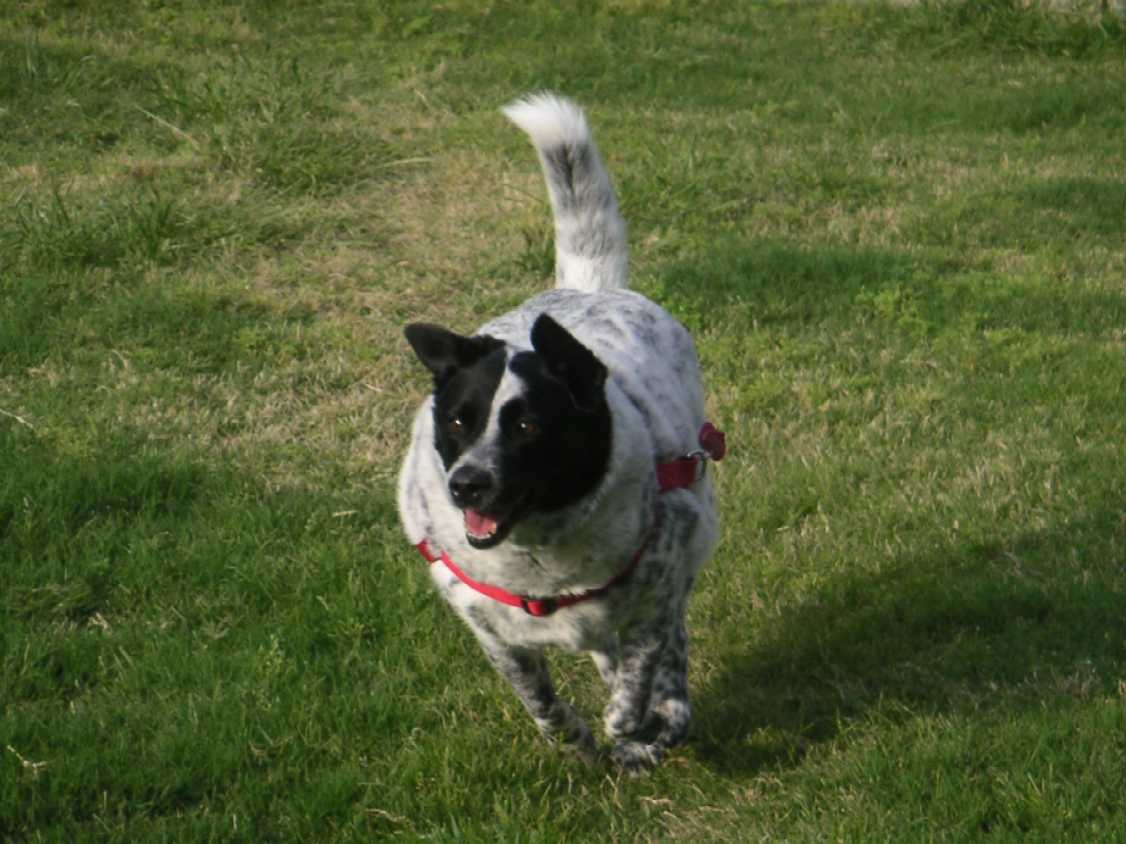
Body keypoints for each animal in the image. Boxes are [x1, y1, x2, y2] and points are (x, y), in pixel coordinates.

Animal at [400, 92, 725, 774]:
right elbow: (538, 699)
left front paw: (626, 719)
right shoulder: (488, 625)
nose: (466, 485)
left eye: (528, 425)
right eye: (459, 421)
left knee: (665, 663)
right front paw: (573, 736)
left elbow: (643, 663)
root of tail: (584, 288)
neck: (541, 551)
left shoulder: (659, 580)